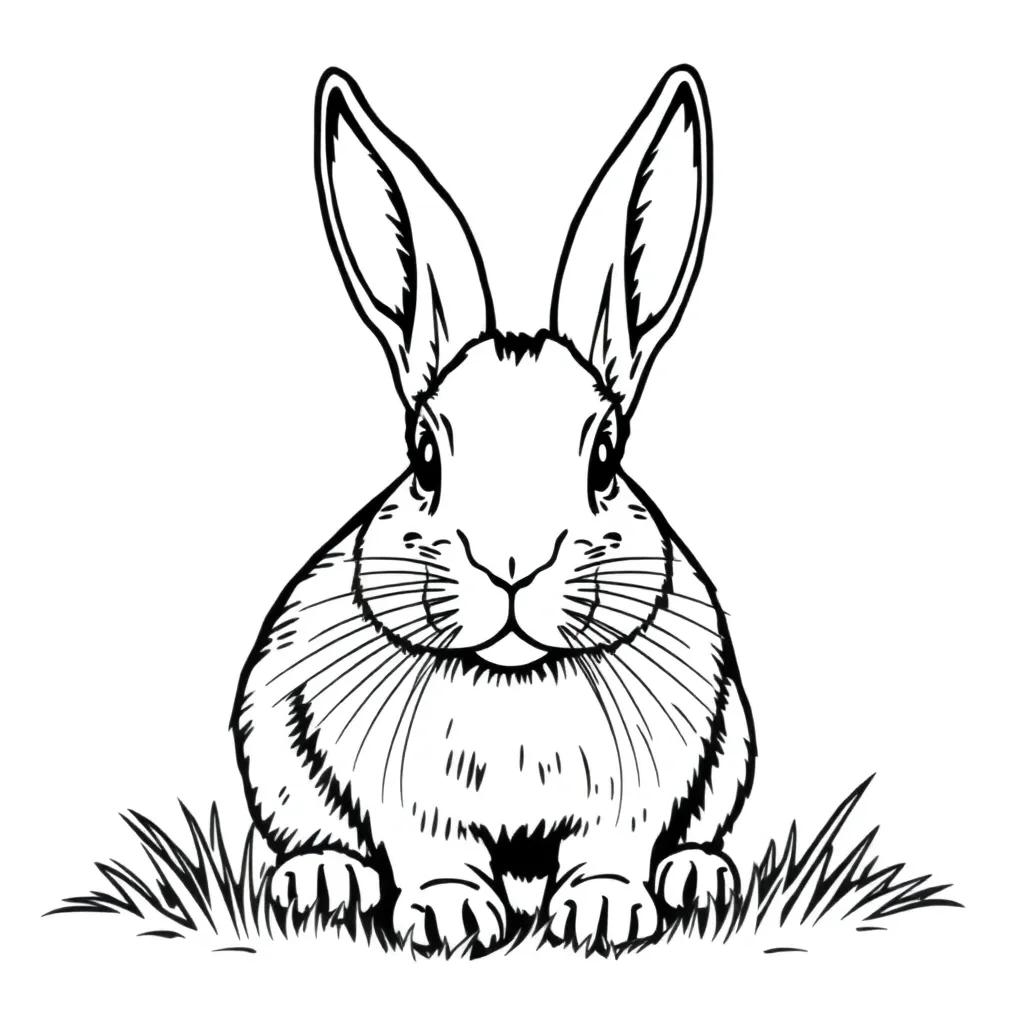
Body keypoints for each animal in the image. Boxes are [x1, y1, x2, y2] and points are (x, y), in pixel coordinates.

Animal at [231, 64, 755, 951]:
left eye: (606, 457)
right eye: (424, 457)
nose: (512, 564)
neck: (513, 682)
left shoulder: (640, 792)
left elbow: (612, 849)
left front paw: (605, 914)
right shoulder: (401, 797)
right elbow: (430, 851)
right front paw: (451, 917)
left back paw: (699, 876)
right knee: (313, 834)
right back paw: (323, 881)